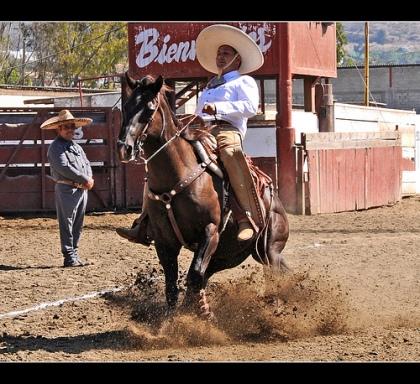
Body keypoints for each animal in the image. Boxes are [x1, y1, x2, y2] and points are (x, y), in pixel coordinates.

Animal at [118, 74, 288, 318]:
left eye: (149, 108)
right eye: (126, 106)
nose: (125, 148)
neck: (178, 174)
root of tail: (275, 201)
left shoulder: (210, 231)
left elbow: (195, 274)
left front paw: (201, 314)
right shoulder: (164, 240)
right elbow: (174, 285)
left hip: (269, 249)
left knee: (274, 273)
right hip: (228, 255)